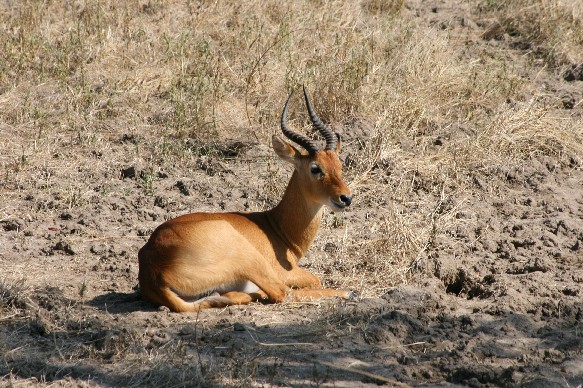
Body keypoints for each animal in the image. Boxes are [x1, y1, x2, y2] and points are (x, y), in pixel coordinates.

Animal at [139, 85, 354, 312]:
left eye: (339, 165)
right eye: (315, 168)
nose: (345, 198)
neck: (276, 228)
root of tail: (154, 269)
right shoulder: (285, 271)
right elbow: (314, 281)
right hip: (249, 259)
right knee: (282, 293)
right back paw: (347, 292)